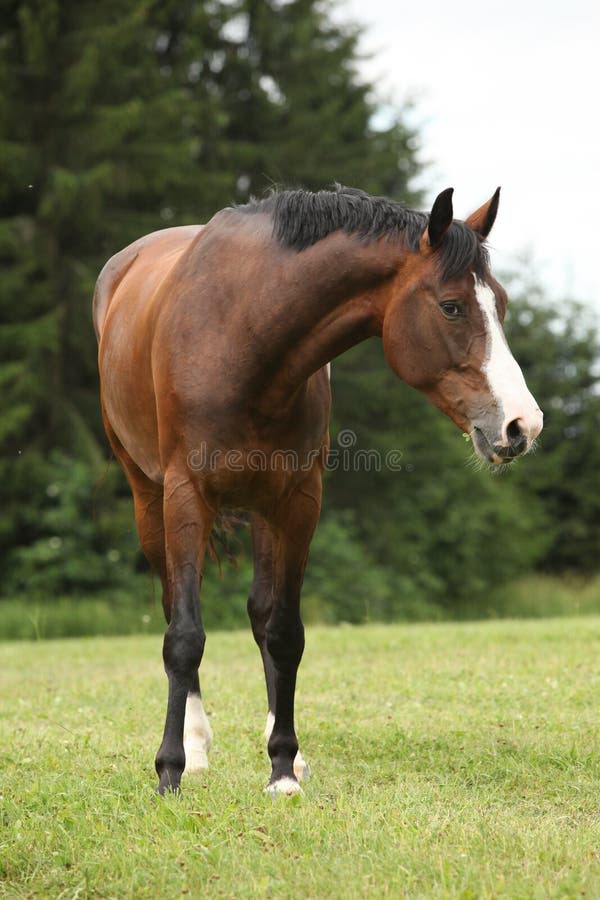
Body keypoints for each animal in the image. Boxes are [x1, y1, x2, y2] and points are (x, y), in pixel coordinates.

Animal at [92, 185, 544, 796]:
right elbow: (184, 634)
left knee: (261, 614)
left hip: (263, 509)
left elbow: (284, 631)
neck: (244, 334)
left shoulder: (298, 503)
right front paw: (170, 770)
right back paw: (195, 742)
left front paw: (283, 768)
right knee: (173, 607)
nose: (523, 425)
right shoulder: (185, 496)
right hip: (148, 498)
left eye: (499, 304)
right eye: (451, 306)